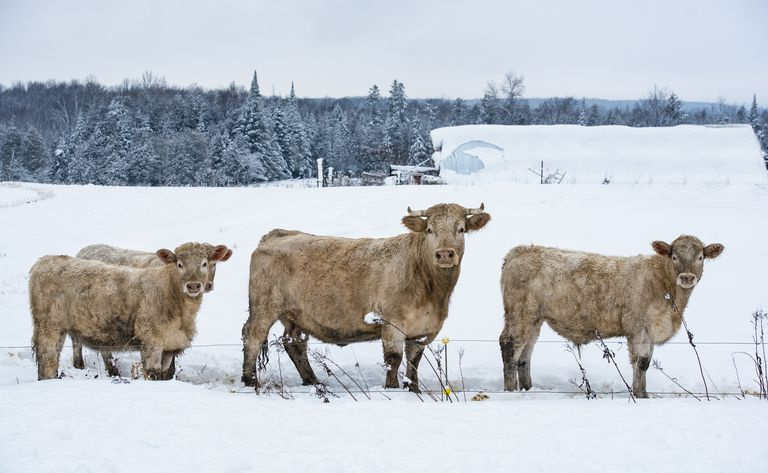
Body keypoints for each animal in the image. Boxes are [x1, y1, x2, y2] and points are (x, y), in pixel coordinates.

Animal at [29, 242, 231, 380]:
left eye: (205, 263)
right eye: (179, 264)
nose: (193, 285)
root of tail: (46, 260)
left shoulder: (170, 345)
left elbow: (165, 374)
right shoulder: (151, 342)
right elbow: (153, 374)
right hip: (48, 327)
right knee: (48, 361)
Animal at [242, 203, 490, 391]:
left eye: (461, 229)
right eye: (429, 230)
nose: (445, 254)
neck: (432, 290)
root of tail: (278, 234)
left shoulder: (424, 329)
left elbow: (414, 362)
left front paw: (414, 389)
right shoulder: (392, 323)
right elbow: (393, 359)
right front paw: (392, 389)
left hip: (295, 315)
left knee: (294, 343)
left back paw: (312, 381)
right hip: (265, 306)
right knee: (253, 335)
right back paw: (250, 381)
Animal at [499, 235, 724, 398]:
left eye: (700, 257)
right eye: (674, 256)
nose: (687, 277)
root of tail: (519, 251)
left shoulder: (651, 330)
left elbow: (646, 362)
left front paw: (643, 393)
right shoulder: (638, 328)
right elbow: (641, 363)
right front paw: (640, 395)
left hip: (534, 320)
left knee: (525, 356)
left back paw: (527, 388)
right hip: (520, 314)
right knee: (509, 347)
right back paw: (510, 391)